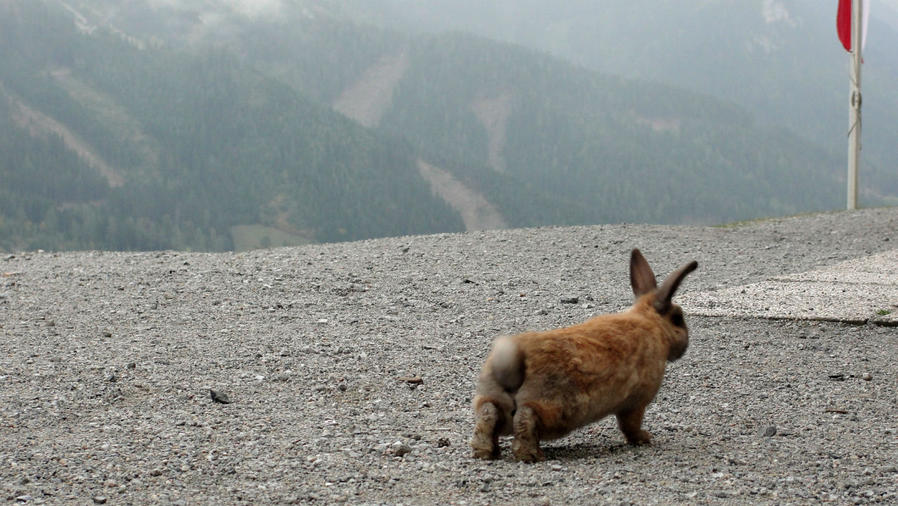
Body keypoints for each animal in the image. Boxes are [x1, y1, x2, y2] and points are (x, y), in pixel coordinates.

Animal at [472, 249, 696, 462]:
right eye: (677, 319)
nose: (685, 344)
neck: (653, 325)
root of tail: (512, 365)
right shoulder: (635, 403)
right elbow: (630, 426)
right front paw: (644, 438)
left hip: (493, 399)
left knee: (488, 415)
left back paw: (485, 452)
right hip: (553, 406)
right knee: (525, 419)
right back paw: (531, 456)